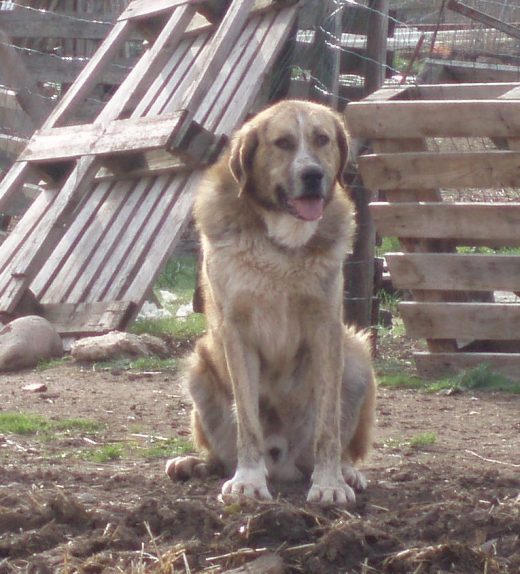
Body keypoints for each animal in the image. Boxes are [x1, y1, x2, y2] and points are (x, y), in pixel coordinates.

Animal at [169, 101, 376, 506]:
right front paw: (248, 480)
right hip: (199, 364)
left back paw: (346, 471)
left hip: (357, 355)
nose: (313, 175)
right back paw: (192, 464)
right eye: (282, 143)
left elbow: (328, 426)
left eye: (322, 139)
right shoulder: (236, 333)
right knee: (220, 454)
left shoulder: (326, 328)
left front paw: (329, 483)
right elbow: (248, 423)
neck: (282, 244)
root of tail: (285, 463)